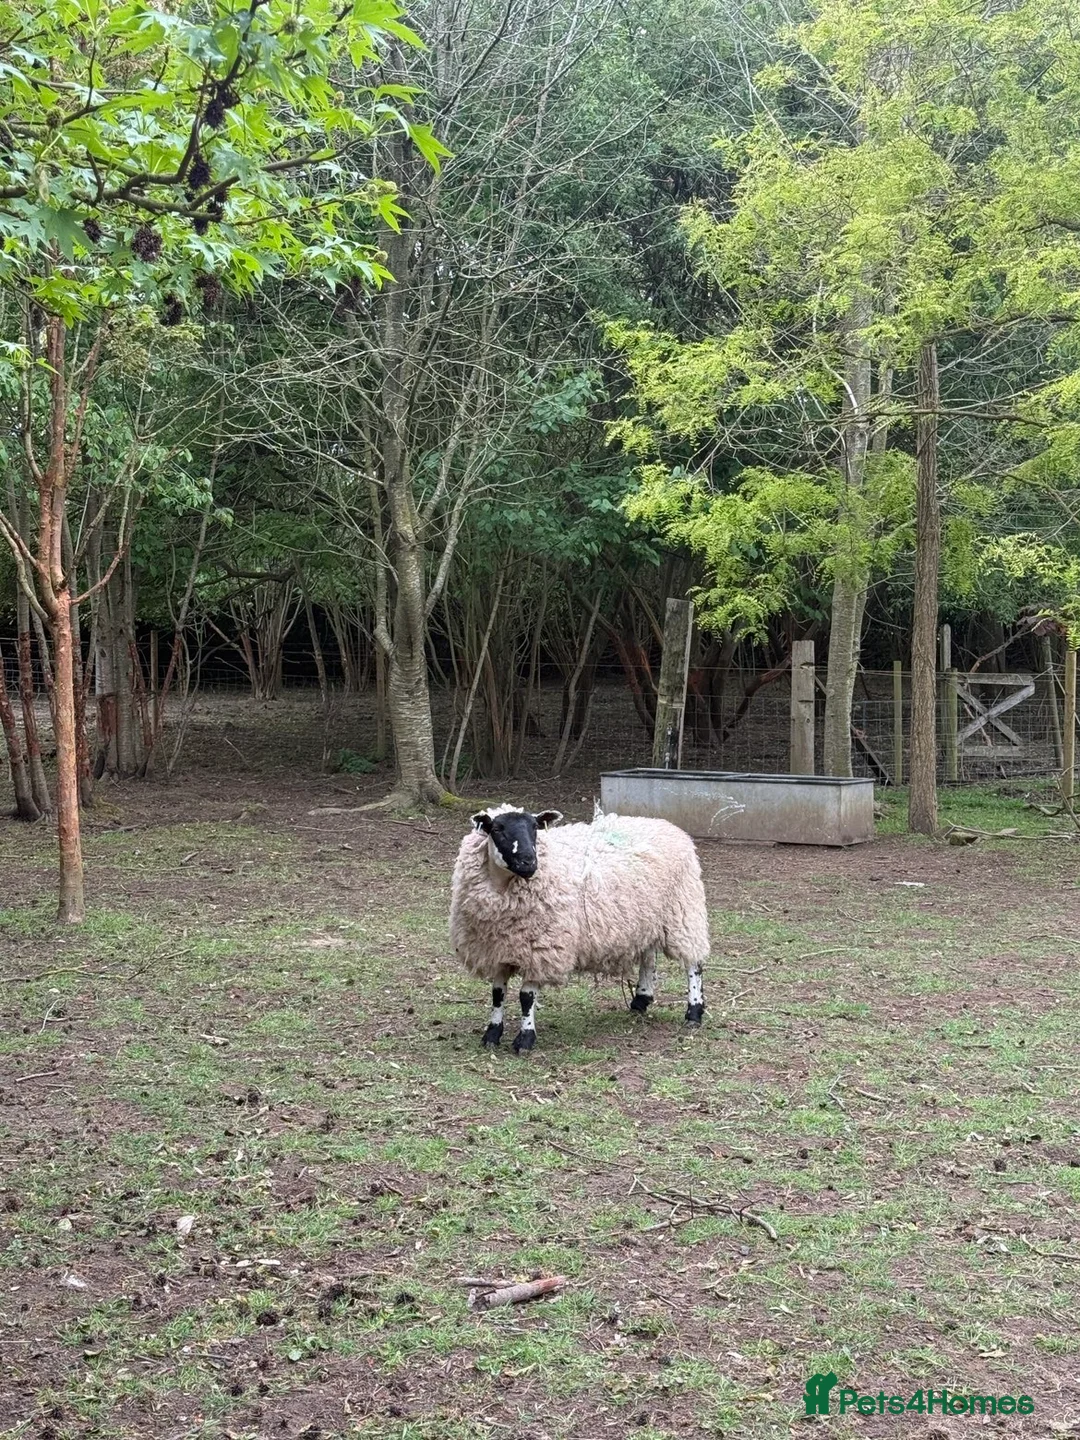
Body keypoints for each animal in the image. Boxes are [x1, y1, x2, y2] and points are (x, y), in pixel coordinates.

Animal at [449, 803, 709, 1052]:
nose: (529, 862)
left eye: (535, 827)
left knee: (693, 965)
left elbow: (526, 997)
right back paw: (641, 1000)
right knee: (648, 957)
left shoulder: (541, 950)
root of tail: (667, 826)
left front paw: (525, 1039)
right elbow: (497, 994)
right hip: (645, 918)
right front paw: (491, 1035)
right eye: (497, 829)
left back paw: (694, 1012)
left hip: (684, 912)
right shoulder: (499, 949)